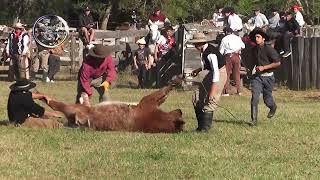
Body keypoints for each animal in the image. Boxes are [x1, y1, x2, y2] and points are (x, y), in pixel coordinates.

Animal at [45, 76, 185, 132]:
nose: (180, 110)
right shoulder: (152, 101)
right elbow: (164, 93)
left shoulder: (148, 101)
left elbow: (164, 90)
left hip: (74, 108)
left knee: (56, 104)